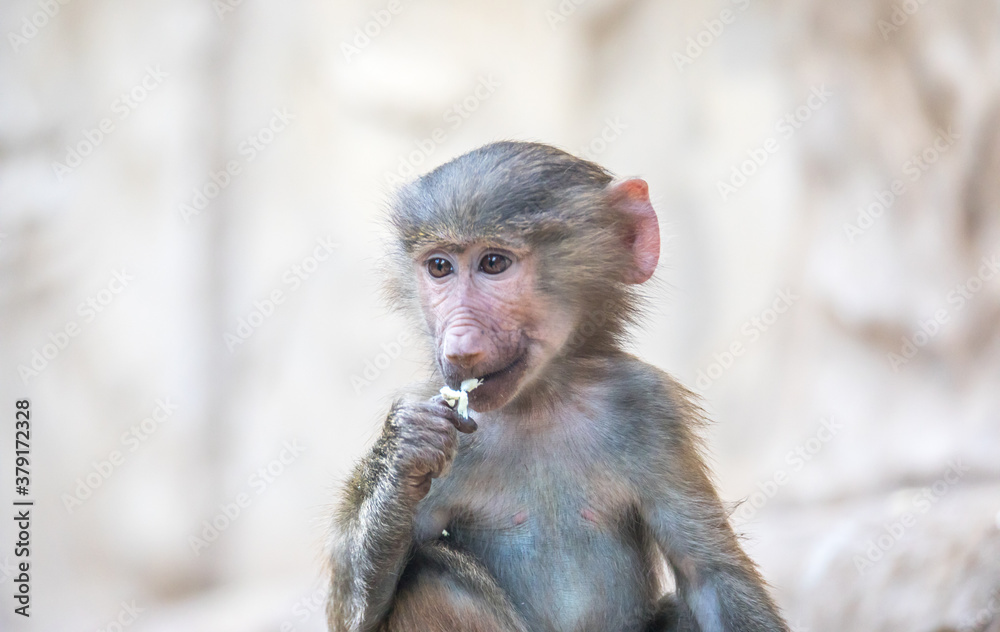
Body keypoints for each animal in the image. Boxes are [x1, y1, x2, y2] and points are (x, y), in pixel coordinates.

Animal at [326, 141, 789, 632]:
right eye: (439, 267)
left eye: (494, 263)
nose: (458, 348)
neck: (538, 401)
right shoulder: (431, 401)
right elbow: (356, 617)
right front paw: (404, 449)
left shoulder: (650, 404)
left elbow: (710, 578)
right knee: (428, 575)